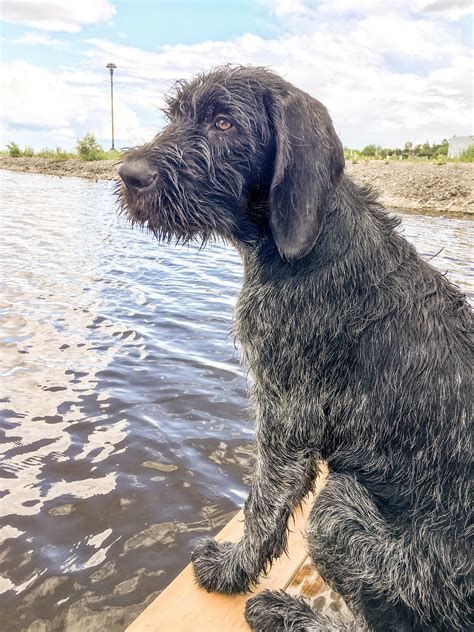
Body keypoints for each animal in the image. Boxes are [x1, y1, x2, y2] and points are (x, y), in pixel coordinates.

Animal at [117, 66, 470, 628]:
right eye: (176, 115)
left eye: (223, 122)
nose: (129, 174)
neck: (306, 244)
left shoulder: (286, 415)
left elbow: (262, 508)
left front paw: (232, 571)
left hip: (338, 510)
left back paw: (289, 613)